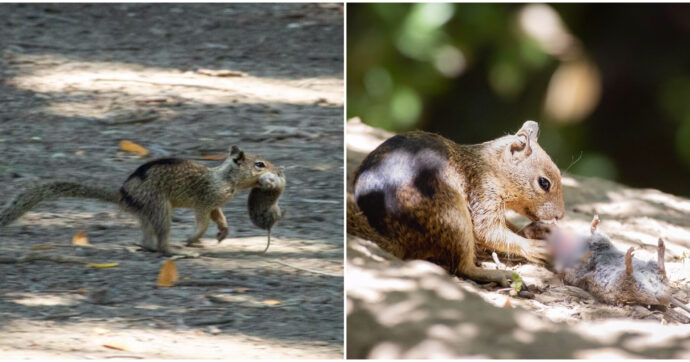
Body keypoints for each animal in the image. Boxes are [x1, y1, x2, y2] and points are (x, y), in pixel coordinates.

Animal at [346, 121, 560, 286]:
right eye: (544, 183)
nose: (560, 215)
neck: (490, 167)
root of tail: (394, 239)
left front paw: (535, 230)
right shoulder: (483, 193)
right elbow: (488, 231)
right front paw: (534, 246)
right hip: (454, 217)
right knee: (462, 267)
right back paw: (494, 273)